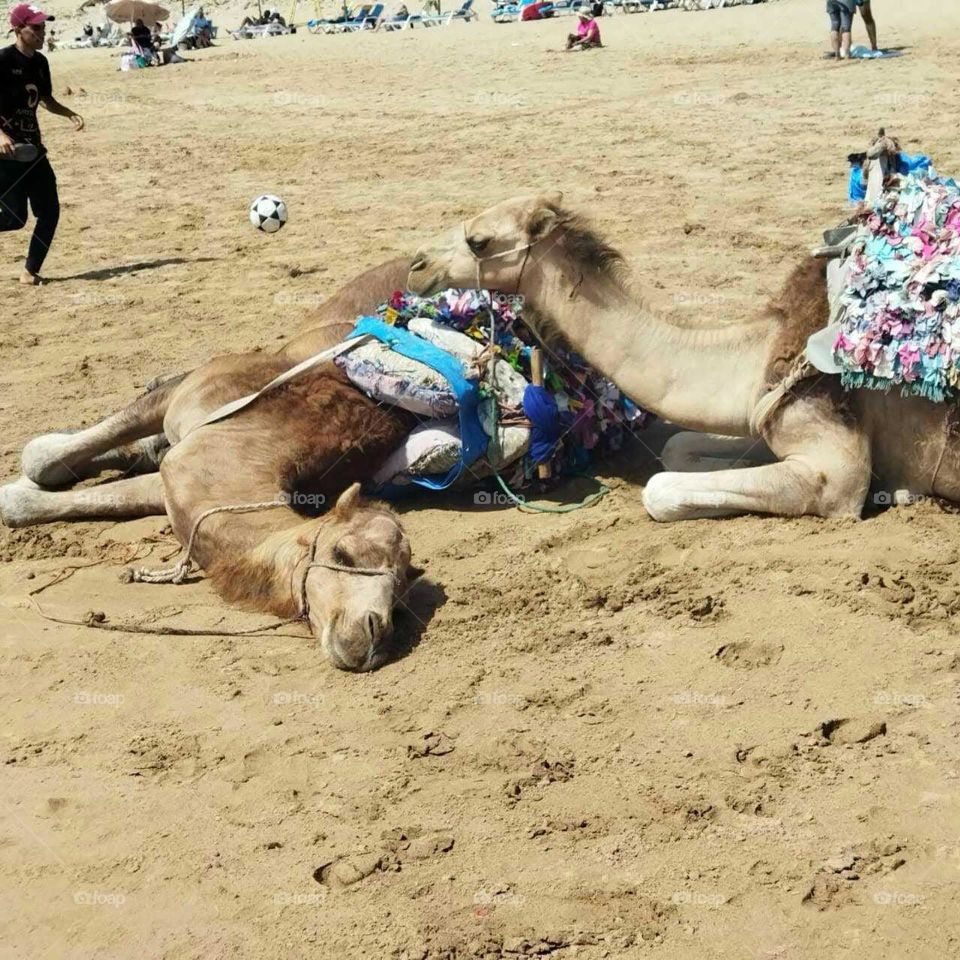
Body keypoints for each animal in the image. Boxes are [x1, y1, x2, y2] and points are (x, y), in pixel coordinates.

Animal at [2, 258, 424, 671]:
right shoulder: (188, 397)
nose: (374, 632)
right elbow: (42, 458)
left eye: (400, 592)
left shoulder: (185, 476)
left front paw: (19, 494)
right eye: (342, 553)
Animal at [406, 192, 960, 521]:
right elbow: (676, 449)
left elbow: (660, 489)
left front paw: (901, 490)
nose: (416, 265)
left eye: (479, 240)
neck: (760, 352)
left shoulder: (836, 473)